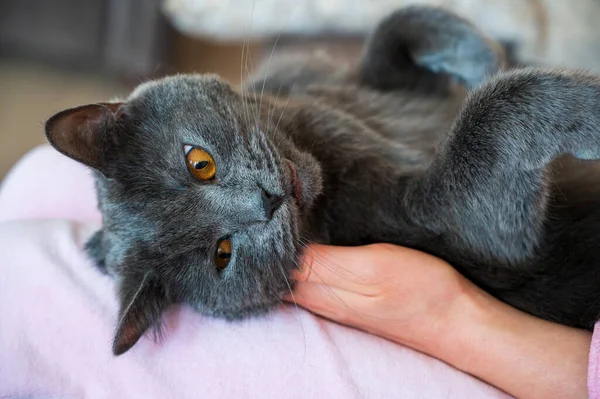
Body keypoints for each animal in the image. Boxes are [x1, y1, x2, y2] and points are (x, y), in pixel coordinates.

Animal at [44, 6, 600, 356]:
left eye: (199, 162)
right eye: (222, 254)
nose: (266, 201)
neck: (315, 138)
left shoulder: (344, 77)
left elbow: (393, 30)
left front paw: (477, 52)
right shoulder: (471, 226)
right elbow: (488, 115)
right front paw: (587, 109)